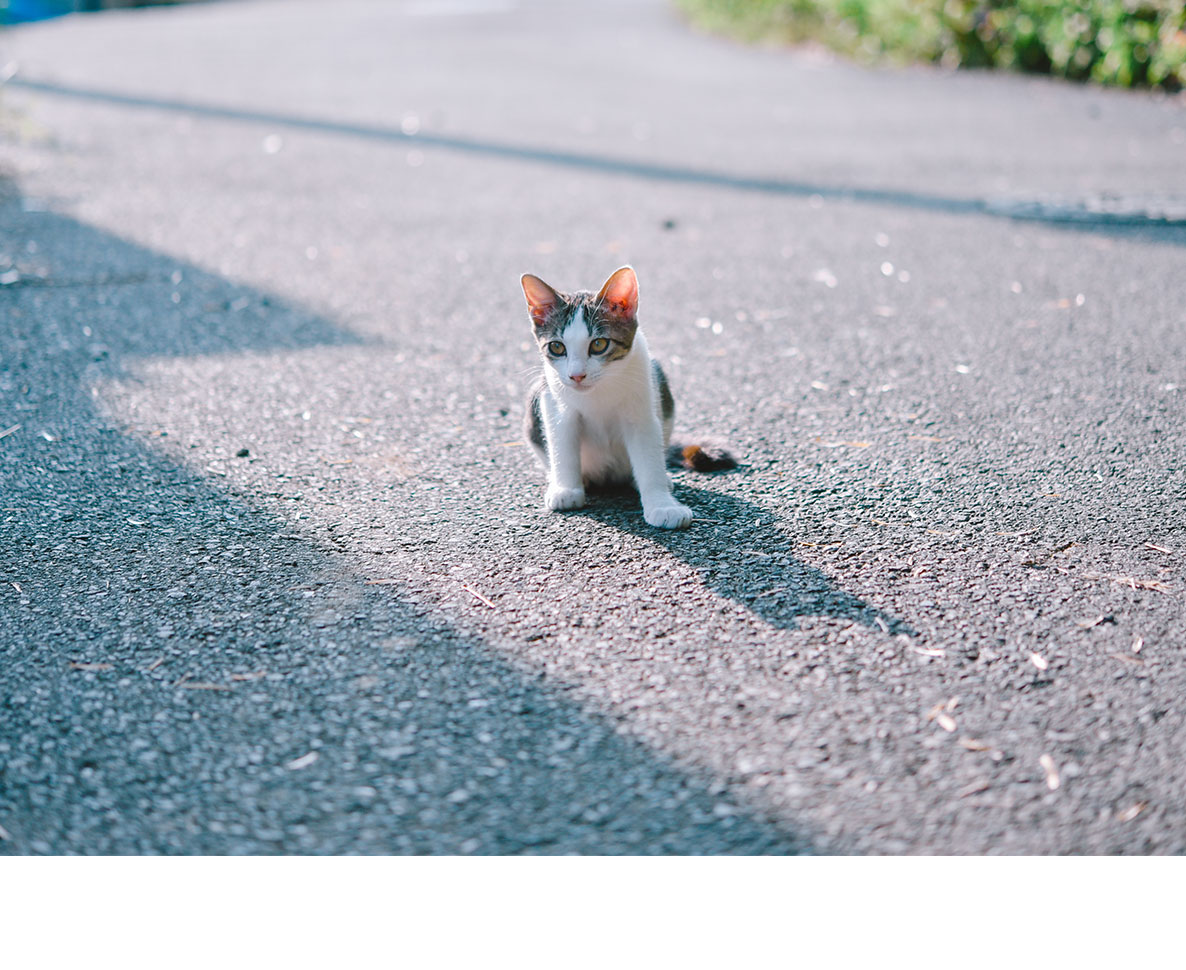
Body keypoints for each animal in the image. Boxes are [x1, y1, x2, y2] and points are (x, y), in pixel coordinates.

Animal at [519, 263, 730, 528]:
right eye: (557, 347)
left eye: (599, 344)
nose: (577, 376)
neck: (599, 390)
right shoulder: (553, 400)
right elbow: (562, 444)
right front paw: (566, 489)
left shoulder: (642, 403)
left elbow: (648, 454)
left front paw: (662, 504)